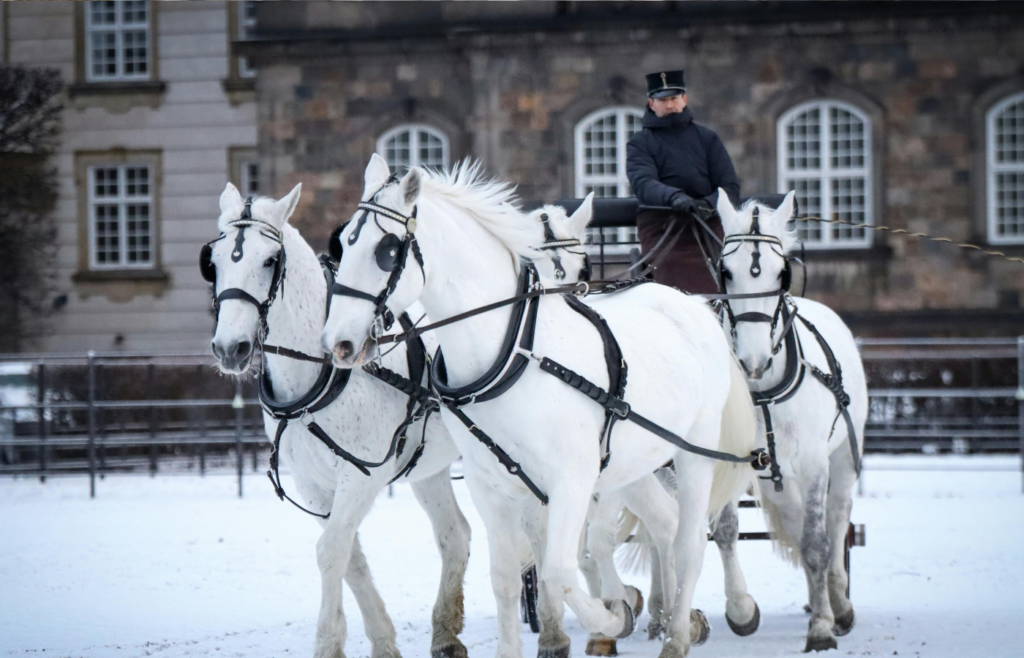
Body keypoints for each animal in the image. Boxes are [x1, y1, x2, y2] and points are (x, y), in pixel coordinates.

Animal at [204, 182, 471, 658]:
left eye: (269, 261)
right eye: (212, 262)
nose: (230, 348)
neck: (322, 371)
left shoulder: (362, 476)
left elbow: (331, 551)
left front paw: (328, 643)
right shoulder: (312, 484)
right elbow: (352, 558)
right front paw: (383, 641)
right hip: (428, 466)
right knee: (455, 535)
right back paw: (445, 635)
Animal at [321, 156, 759, 658]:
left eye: (387, 251)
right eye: (343, 243)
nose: (338, 344)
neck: (514, 352)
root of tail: (693, 304)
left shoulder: (571, 481)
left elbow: (558, 572)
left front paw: (613, 615)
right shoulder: (490, 486)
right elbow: (507, 577)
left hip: (693, 454)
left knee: (689, 543)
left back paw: (678, 636)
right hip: (632, 464)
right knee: (663, 524)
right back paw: (674, 620)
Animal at [713, 189, 868, 652]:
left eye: (782, 274)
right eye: (725, 272)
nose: (753, 361)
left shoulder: (815, 463)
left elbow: (817, 542)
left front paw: (821, 626)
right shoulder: (728, 457)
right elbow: (725, 530)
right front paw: (741, 610)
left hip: (842, 458)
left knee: (835, 520)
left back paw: (838, 602)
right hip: (774, 478)